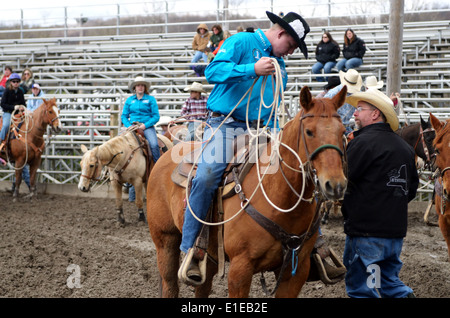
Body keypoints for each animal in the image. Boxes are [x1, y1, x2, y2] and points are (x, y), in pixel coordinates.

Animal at [146, 85, 346, 296]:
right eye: (309, 131)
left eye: (342, 131)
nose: (335, 184)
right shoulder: (240, 268)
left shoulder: (297, 270)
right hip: (165, 240)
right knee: (170, 284)